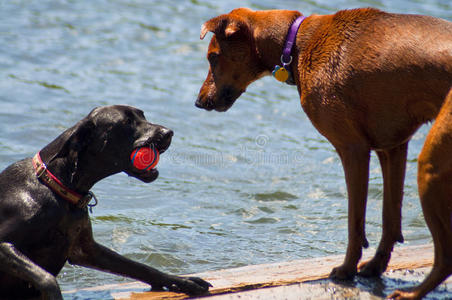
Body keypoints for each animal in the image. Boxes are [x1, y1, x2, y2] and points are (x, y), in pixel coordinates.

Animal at [0, 105, 211, 298]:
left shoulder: (86, 249)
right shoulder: (4, 243)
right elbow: (47, 279)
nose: (169, 132)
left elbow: (140, 267)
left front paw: (181, 281)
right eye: (127, 122)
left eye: (143, 116)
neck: (57, 185)